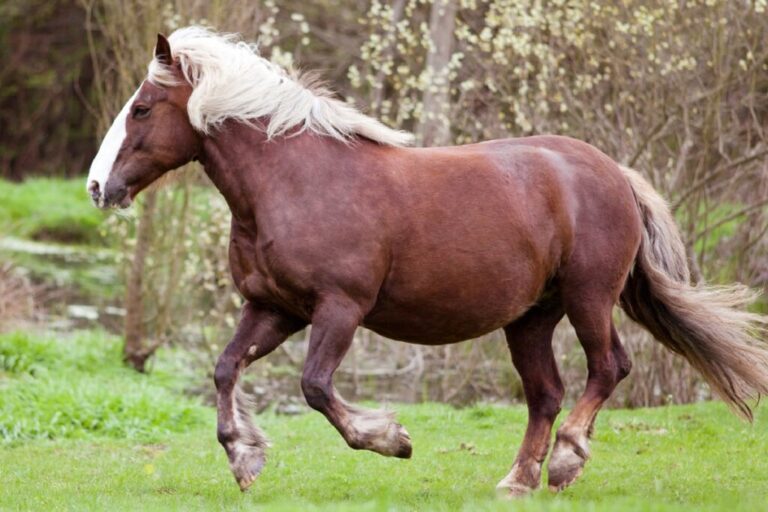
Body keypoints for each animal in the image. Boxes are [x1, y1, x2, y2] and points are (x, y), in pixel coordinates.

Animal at [84, 28, 768, 496]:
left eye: (142, 108)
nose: (97, 187)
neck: (296, 182)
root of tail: (613, 172)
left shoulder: (340, 308)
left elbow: (314, 386)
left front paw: (391, 440)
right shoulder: (274, 308)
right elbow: (226, 369)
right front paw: (245, 457)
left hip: (588, 297)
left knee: (609, 369)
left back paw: (566, 460)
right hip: (530, 318)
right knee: (545, 393)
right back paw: (517, 481)